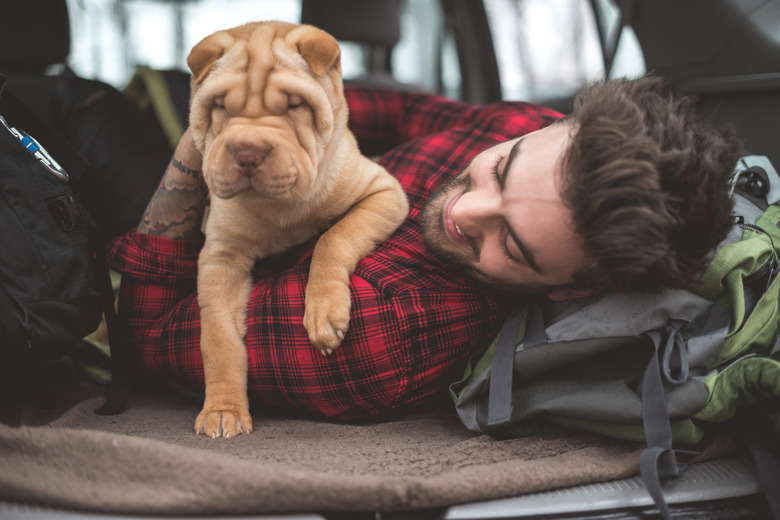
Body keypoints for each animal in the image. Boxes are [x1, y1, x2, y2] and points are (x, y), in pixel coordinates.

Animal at [189, 20, 408, 436]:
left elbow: (333, 238)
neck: (280, 208)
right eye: (222, 106)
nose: (247, 152)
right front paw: (223, 409)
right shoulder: (221, 258)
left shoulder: (383, 193)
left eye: (294, 105)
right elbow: (218, 336)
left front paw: (324, 312)